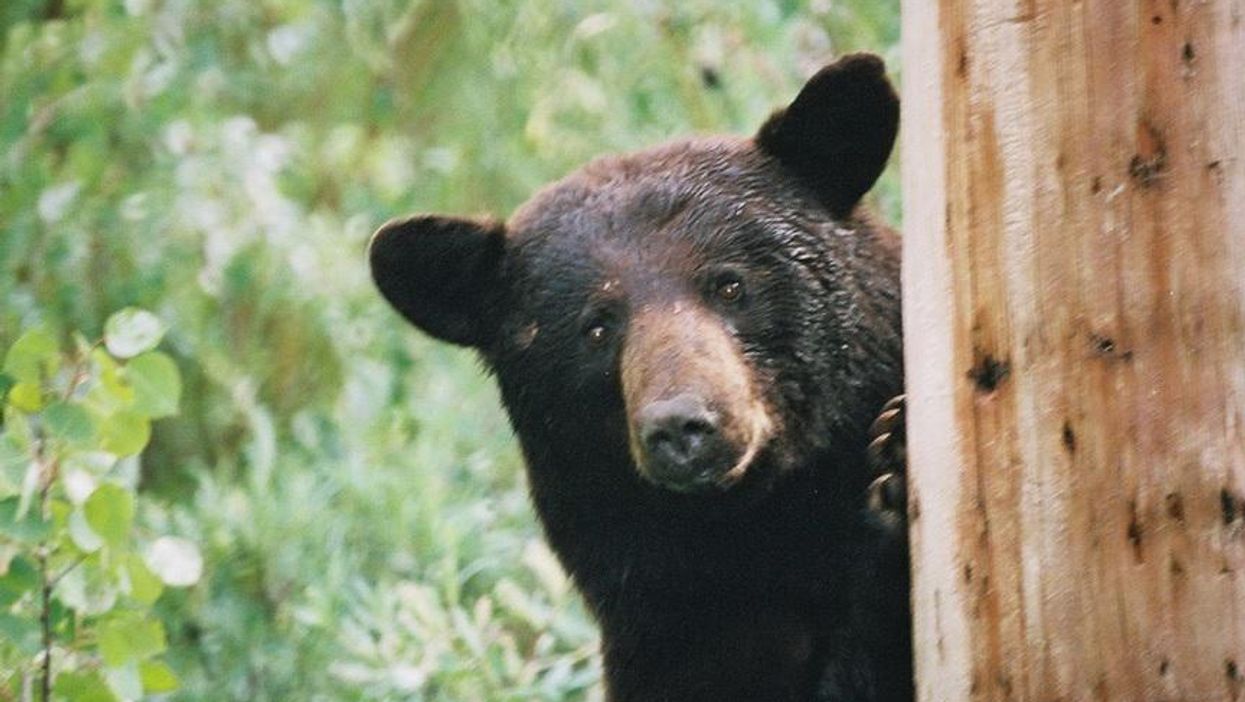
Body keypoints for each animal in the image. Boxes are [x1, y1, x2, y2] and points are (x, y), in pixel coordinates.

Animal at [366, 51, 906, 697]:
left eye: (730, 285)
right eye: (597, 327)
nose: (681, 425)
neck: (758, 531)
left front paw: (898, 458)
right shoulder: (670, 635)